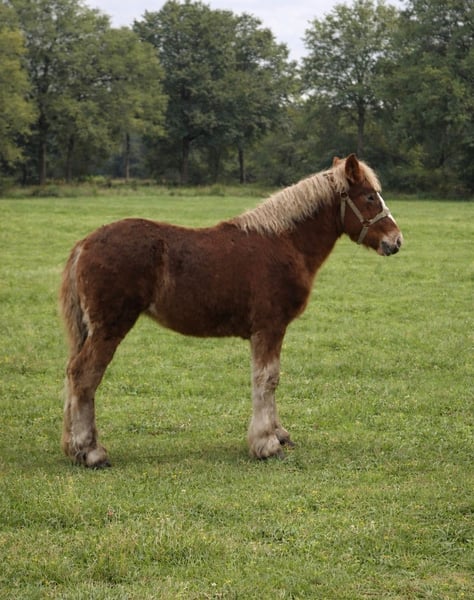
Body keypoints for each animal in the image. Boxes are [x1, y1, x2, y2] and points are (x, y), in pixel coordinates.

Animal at [60, 154, 403, 468]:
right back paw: (90, 451)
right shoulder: (269, 326)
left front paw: (278, 434)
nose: (396, 241)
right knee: (84, 375)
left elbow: (269, 378)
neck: (284, 242)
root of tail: (84, 244)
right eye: (369, 196)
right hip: (110, 328)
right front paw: (267, 445)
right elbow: (267, 378)